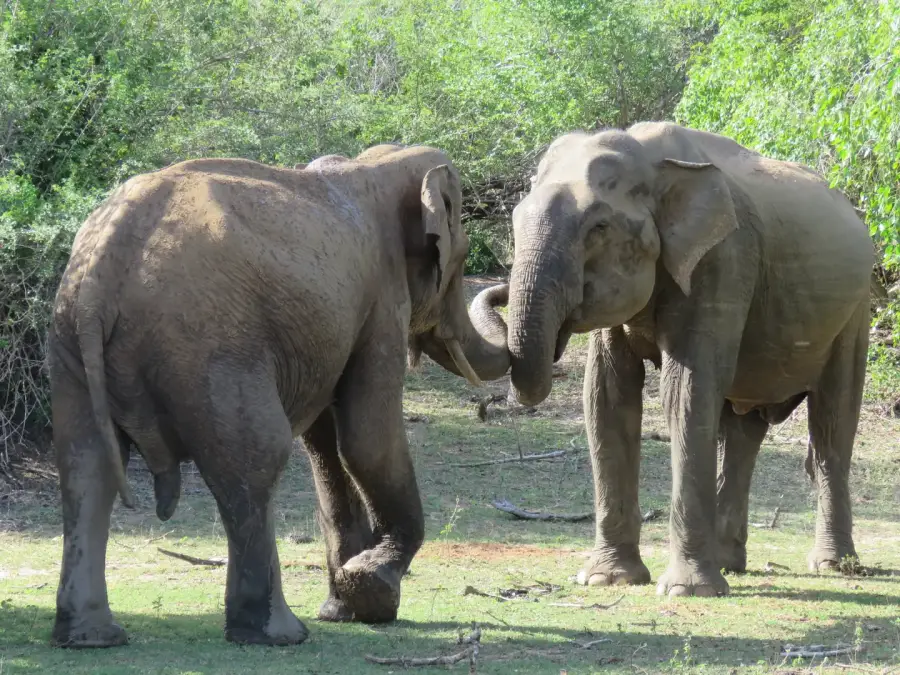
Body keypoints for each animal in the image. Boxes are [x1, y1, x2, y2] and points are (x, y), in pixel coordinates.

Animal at [48, 143, 509, 648]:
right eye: (462, 257)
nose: (501, 291)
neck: (378, 162)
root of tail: (101, 270)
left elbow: (326, 444)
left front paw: (349, 608)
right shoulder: (383, 299)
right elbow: (367, 440)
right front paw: (371, 588)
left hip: (71, 344)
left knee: (85, 466)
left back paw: (91, 637)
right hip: (211, 348)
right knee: (256, 458)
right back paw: (277, 634)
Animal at [476, 121, 873, 597]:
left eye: (599, 227)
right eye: (516, 220)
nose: (497, 289)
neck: (652, 161)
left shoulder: (723, 259)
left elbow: (685, 390)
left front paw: (686, 590)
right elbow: (607, 396)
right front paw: (607, 579)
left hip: (855, 312)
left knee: (832, 424)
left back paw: (832, 566)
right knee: (744, 430)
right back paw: (730, 564)